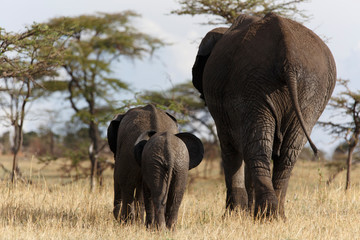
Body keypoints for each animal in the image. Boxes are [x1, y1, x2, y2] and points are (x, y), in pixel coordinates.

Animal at [193, 13, 336, 219]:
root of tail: (288, 53)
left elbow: (230, 149)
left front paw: (233, 216)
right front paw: (244, 214)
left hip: (254, 83)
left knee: (256, 147)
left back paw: (267, 216)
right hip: (309, 90)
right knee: (286, 151)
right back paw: (275, 216)